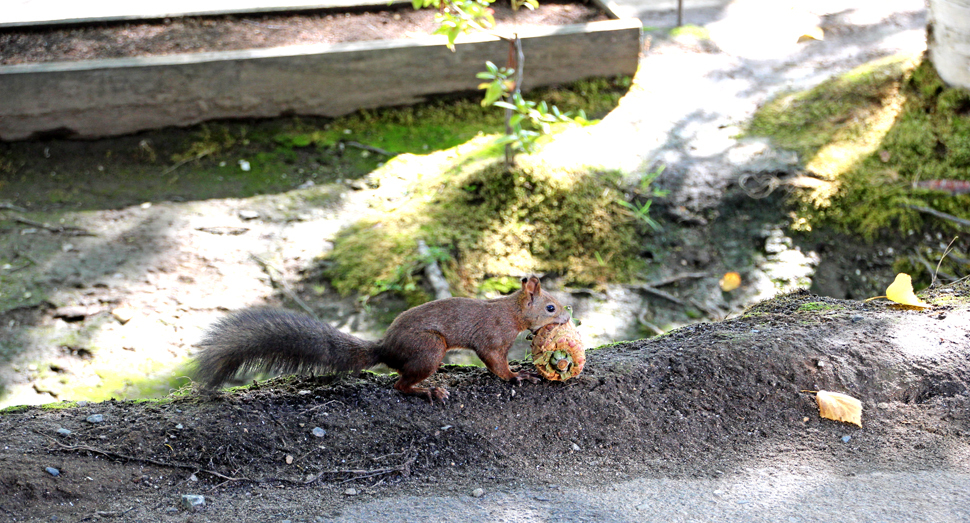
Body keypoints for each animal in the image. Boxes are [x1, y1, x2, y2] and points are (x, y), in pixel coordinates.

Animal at [193, 276, 568, 404]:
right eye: (550, 307)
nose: (567, 318)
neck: (511, 311)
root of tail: (385, 348)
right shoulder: (492, 338)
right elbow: (496, 364)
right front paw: (519, 375)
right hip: (430, 349)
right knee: (400, 385)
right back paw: (429, 391)